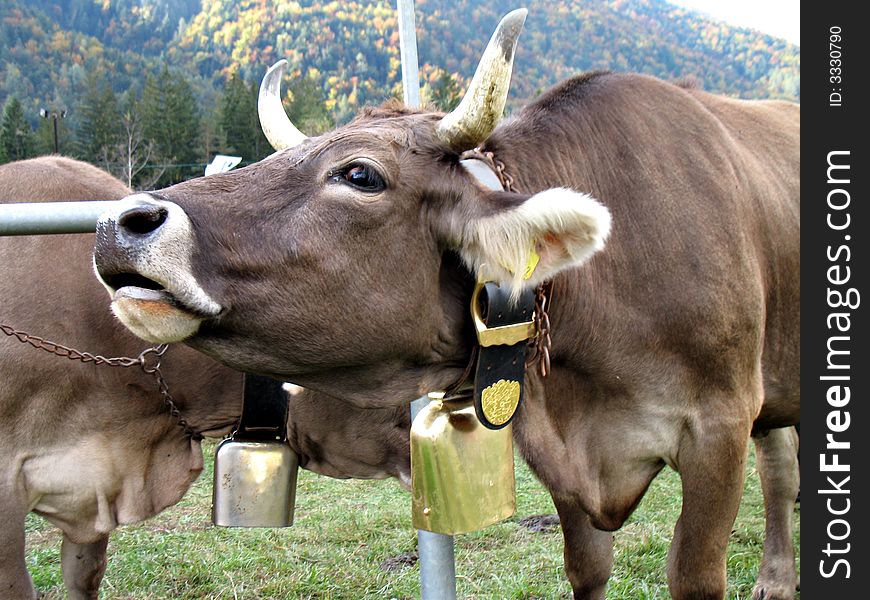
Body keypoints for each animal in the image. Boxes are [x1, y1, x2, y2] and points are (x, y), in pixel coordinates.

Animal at [92, 8, 800, 600]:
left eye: (360, 174)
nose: (119, 224)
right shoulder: (560, 459)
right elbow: (587, 568)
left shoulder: (719, 426)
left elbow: (694, 574)